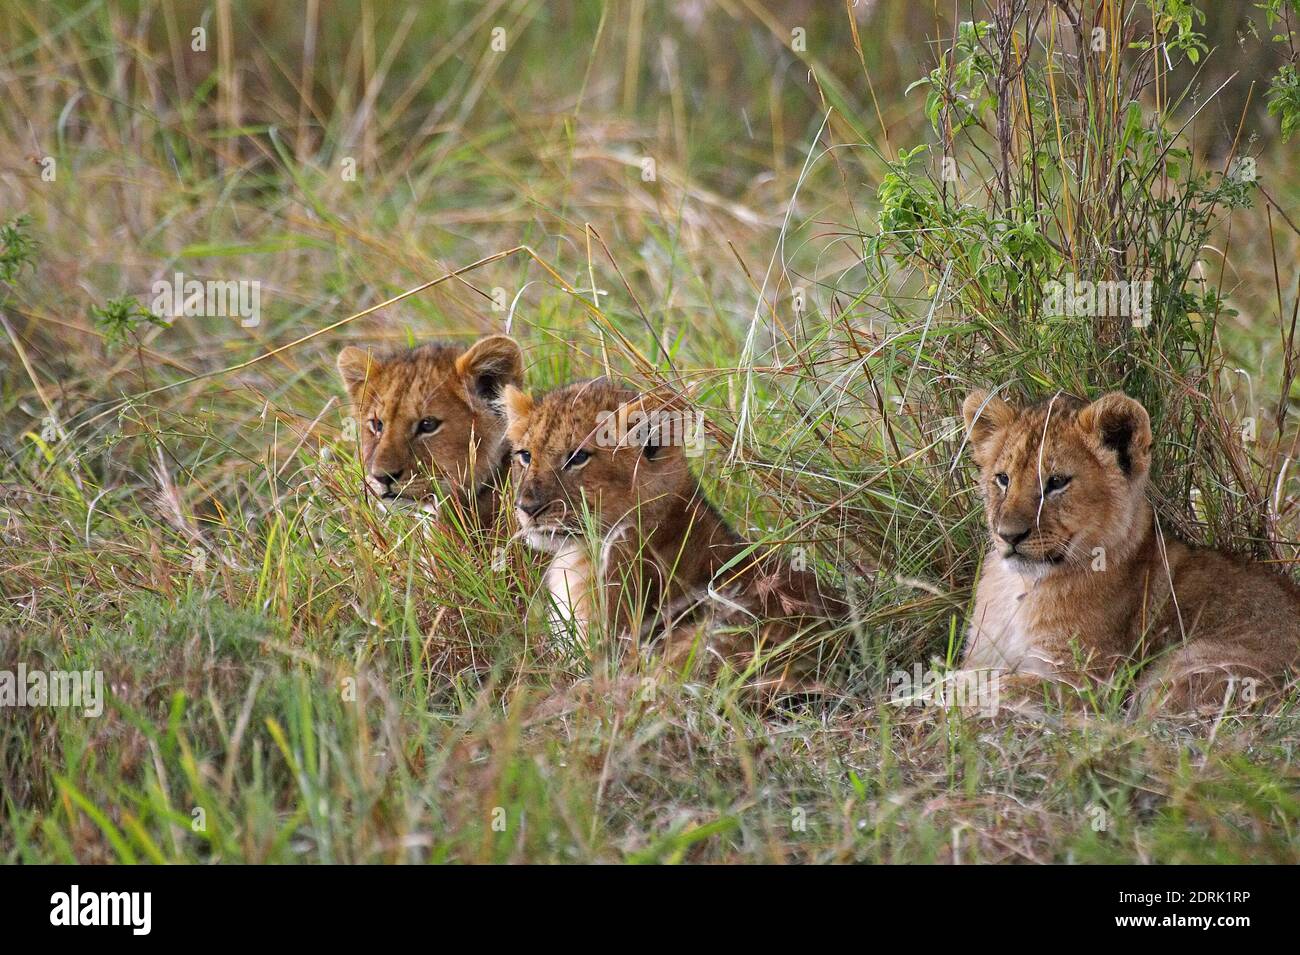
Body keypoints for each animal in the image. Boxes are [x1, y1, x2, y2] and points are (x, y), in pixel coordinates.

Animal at [961, 389, 1300, 714]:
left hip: (1186, 668)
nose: (1009, 535)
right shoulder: (981, 657)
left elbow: (982, 688)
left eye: (1057, 482)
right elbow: (973, 678)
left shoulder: (1081, 682)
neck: (1019, 586)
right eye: (1003, 479)